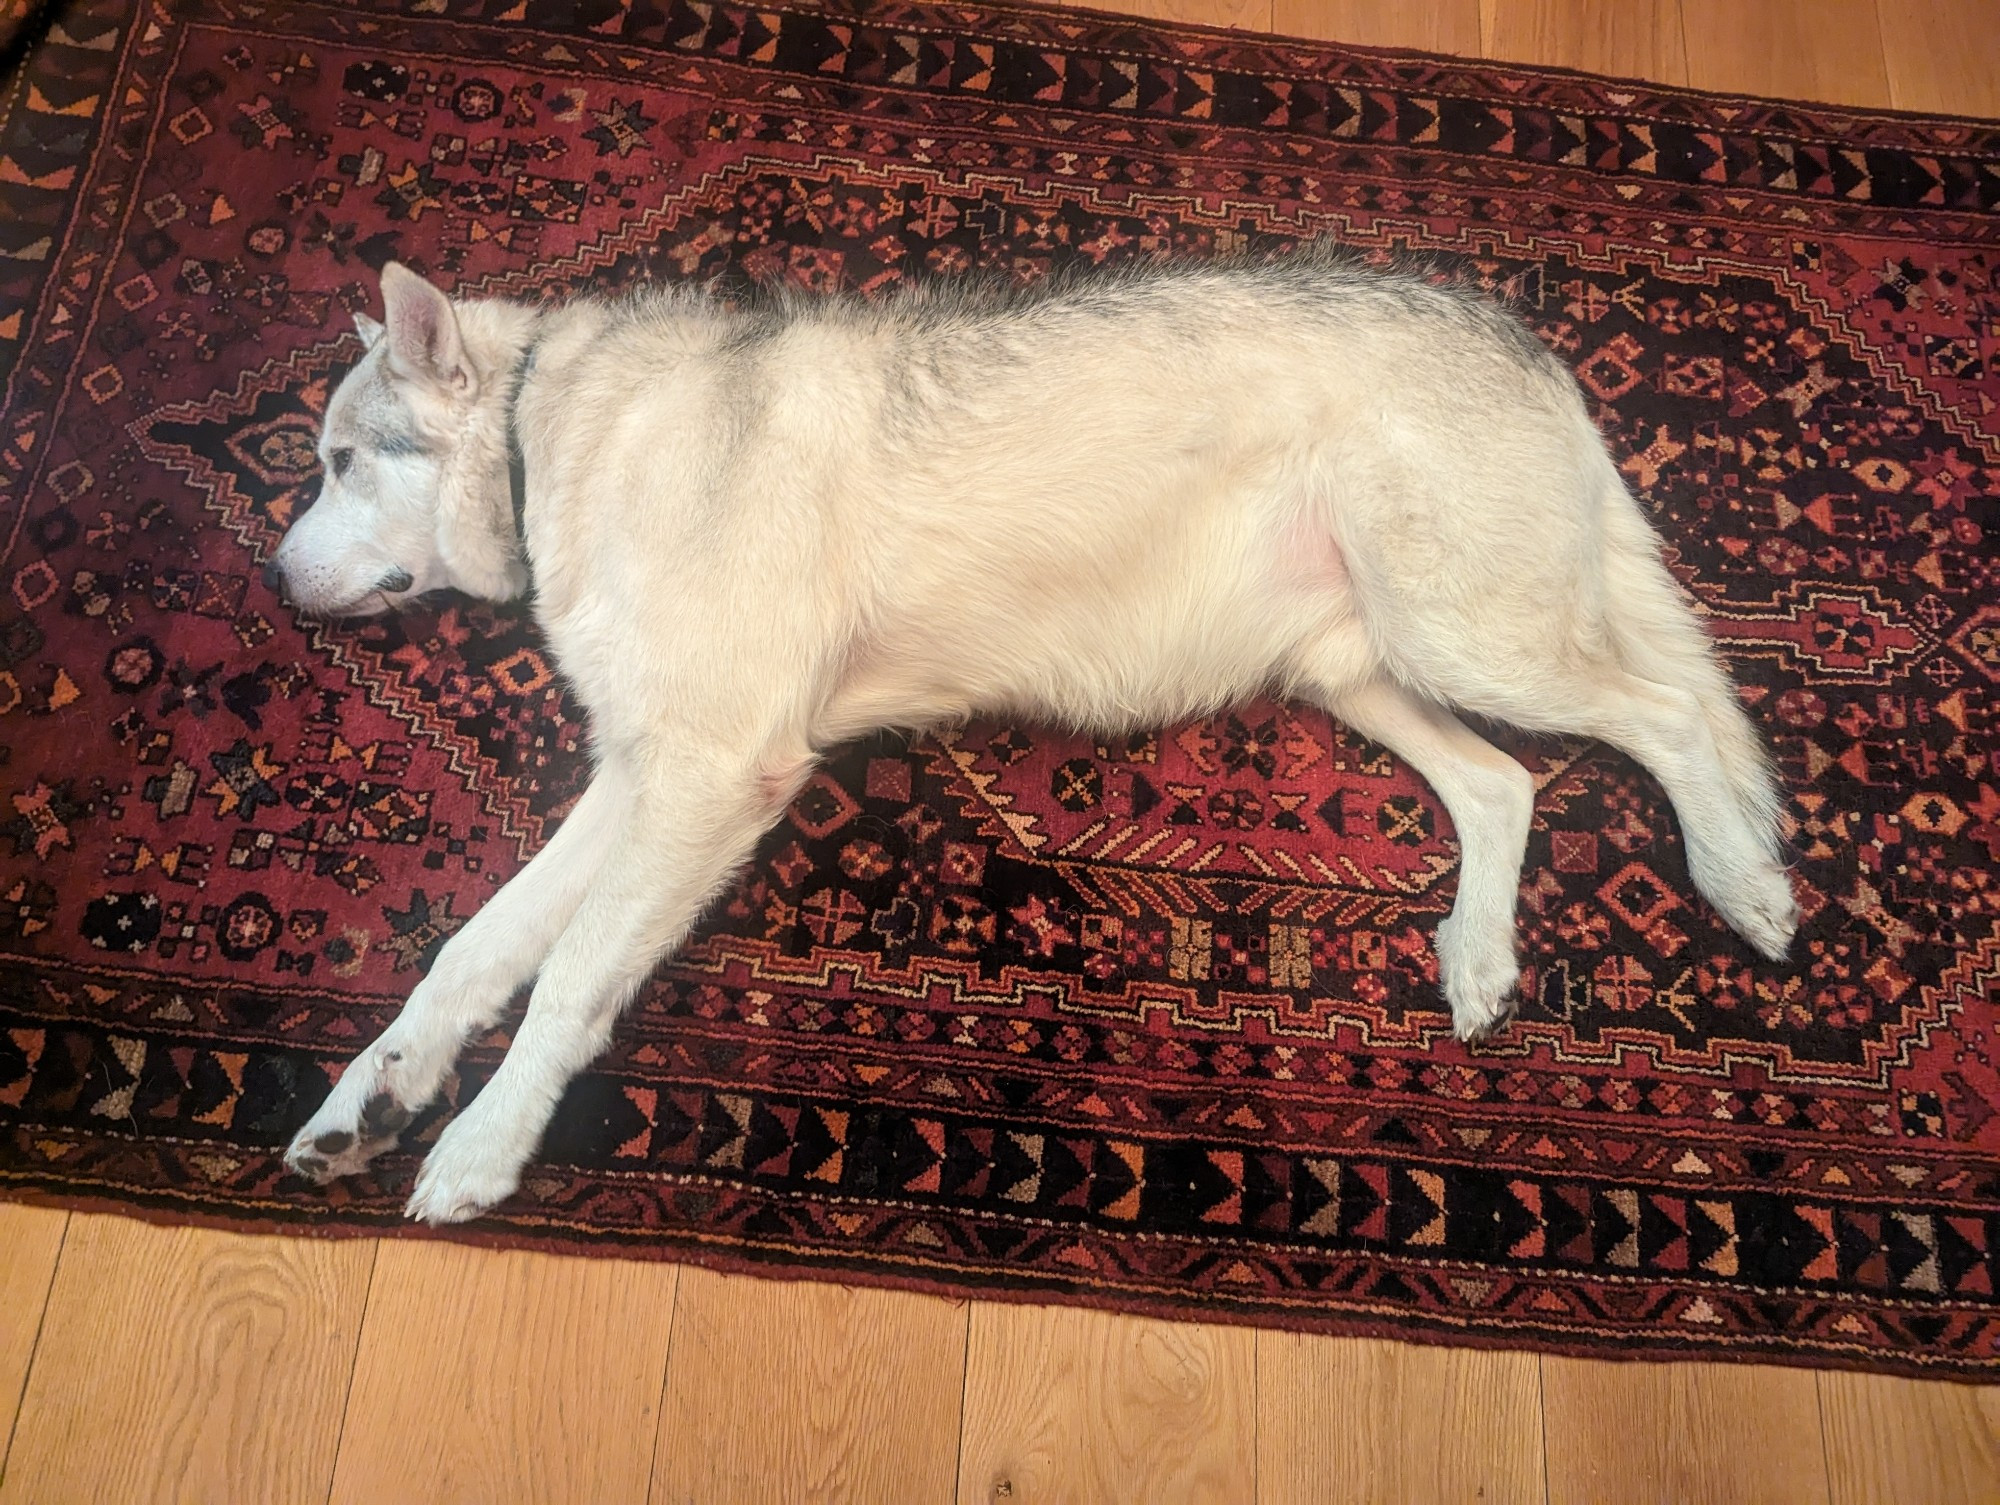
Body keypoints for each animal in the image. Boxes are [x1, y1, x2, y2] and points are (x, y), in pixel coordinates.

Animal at [270, 250, 1800, 1224]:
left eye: (340, 461)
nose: (271, 582)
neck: (553, 428)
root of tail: (1523, 339)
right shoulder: (638, 776)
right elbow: (470, 956)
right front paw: (370, 1098)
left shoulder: (706, 776)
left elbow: (566, 984)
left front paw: (480, 1148)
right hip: (1356, 668)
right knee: (1504, 785)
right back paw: (1479, 960)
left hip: (1464, 636)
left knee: (1669, 716)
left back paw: (1744, 885)